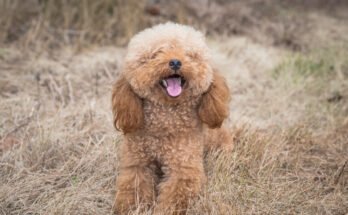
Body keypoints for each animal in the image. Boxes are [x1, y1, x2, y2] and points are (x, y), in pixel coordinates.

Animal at [111, 22, 231, 214]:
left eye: (189, 54)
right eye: (156, 54)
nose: (175, 62)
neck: (165, 120)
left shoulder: (184, 169)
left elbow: (175, 196)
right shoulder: (136, 163)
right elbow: (133, 188)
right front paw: (131, 208)